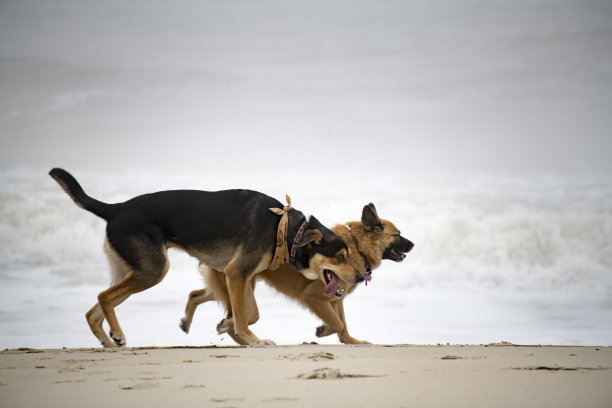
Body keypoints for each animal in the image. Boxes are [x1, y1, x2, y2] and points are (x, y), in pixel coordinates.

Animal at [50, 169, 364, 348]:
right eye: (340, 257)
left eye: (350, 255)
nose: (362, 277)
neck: (285, 229)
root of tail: (116, 209)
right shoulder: (237, 274)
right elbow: (245, 318)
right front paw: (252, 339)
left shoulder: (242, 277)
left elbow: (249, 314)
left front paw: (228, 326)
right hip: (152, 270)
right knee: (104, 297)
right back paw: (116, 334)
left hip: (130, 270)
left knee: (94, 311)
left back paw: (107, 340)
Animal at [179, 204, 414, 344]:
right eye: (398, 234)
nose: (413, 244)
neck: (356, 245)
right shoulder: (316, 297)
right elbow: (337, 323)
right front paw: (323, 330)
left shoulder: (336, 298)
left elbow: (343, 325)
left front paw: (350, 341)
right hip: (238, 283)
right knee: (240, 318)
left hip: (235, 284)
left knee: (197, 295)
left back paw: (189, 322)